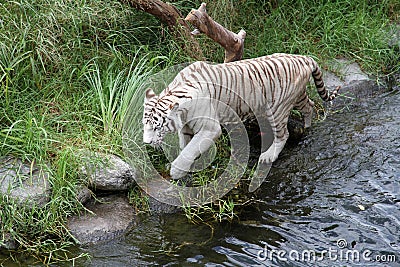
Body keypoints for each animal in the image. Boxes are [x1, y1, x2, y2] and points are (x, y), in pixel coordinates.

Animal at [142, 53, 340, 181]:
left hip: (277, 108)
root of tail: (303, 58)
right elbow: (185, 146)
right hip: (297, 97)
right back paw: (307, 127)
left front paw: (176, 171)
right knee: (310, 106)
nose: (147, 143)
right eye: (145, 125)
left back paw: (268, 156)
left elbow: (190, 149)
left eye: (157, 127)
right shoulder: (185, 126)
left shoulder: (210, 128)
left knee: (283, 134)